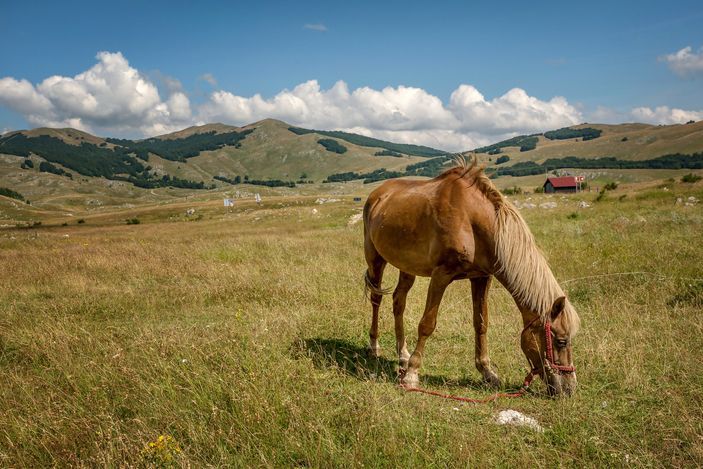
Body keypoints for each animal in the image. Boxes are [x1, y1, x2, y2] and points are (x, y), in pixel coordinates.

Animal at [366, 157, 580, 394]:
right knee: (376, 299)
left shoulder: (481, 277)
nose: (570, 389)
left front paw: (487, 372)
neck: (472, 221)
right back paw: (374, 347)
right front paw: (412, 374)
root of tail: (378, 194)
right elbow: (427, 324)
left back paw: (402, 355)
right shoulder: (441, 275)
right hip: (375, 259)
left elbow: (481, 323)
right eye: (561, 341)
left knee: (398, 301)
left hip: (407, 267)